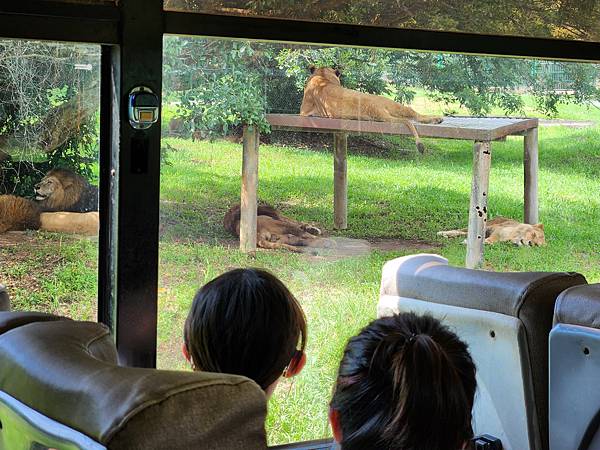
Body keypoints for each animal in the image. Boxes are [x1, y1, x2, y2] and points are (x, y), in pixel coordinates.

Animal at [298, 66, 442, 152]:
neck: (322, 77)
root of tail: (378, 105)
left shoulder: (303, 112)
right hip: (394, 107)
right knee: (412, 113)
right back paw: (437, 119)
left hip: (388, 110)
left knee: (410, 116)